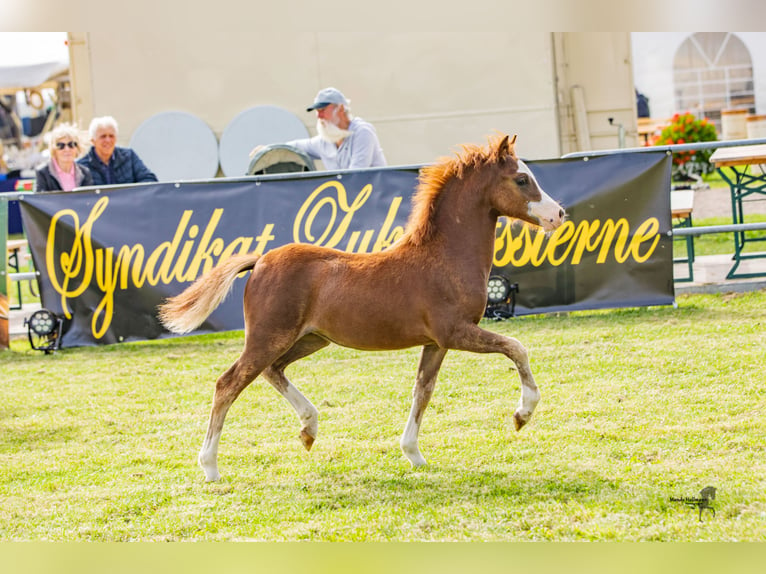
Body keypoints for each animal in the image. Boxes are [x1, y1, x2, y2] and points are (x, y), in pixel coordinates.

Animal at [160, 135, 564, 482]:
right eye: (522, 179)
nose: (558, 214)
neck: (444, 257)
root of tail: (259, 261)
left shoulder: (436, 343)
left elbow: (423, 390)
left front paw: (414, 454)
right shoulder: (456, 332)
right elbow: (516, 348)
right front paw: (522, 415)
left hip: (310, 339)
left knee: (272, 371)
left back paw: (309, 429)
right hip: (268, 337)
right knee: (229, 383)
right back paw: (210, 466)